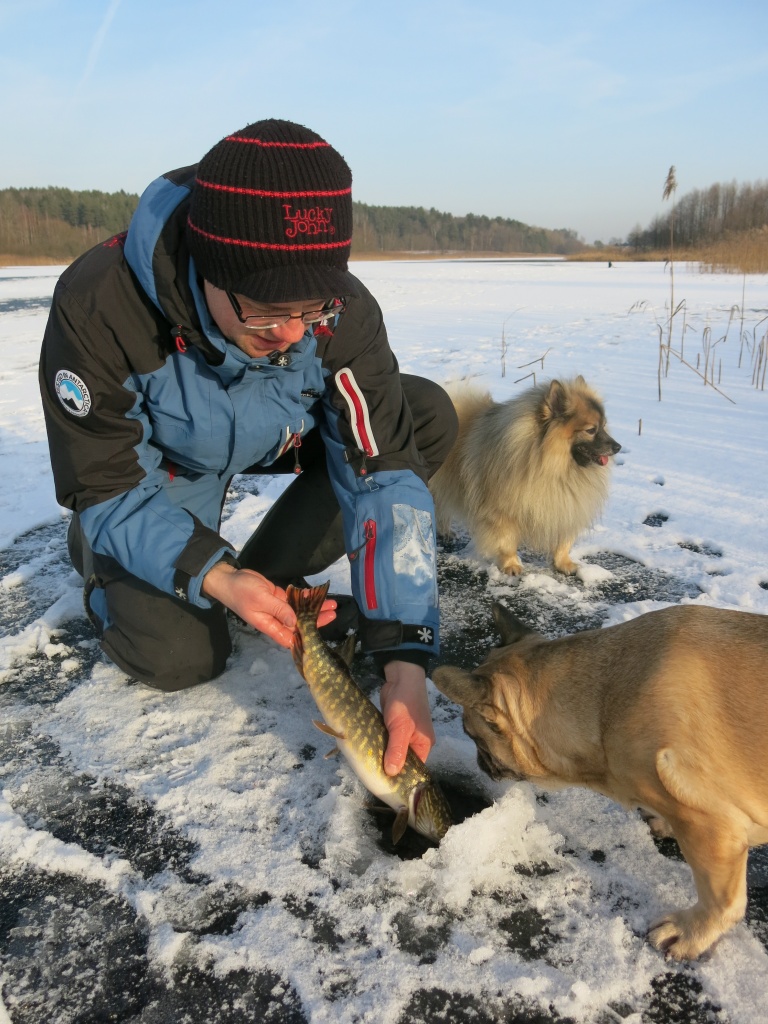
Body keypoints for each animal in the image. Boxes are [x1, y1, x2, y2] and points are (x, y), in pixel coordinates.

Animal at [430, 378, 622, 577]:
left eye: (604, 426)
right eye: (591, 430)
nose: (618, 447)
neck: (551, 466)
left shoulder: (565, 505)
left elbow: (563, 542)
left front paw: (564, 563)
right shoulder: (502, 511)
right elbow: (506, 541)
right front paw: (511, 565)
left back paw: (445, 531)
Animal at [434, 598, 768, 958]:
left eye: (473, 735)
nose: (480, 763)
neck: (602, 703)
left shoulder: (712, 826)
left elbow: (721, 899)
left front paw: (692, 932)